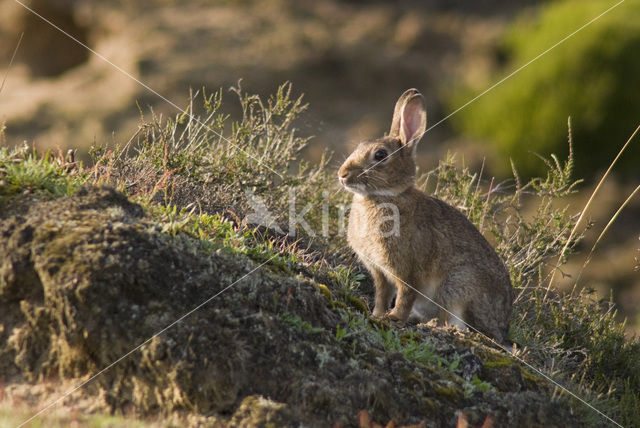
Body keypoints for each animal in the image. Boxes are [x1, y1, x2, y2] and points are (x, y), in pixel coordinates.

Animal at [338, 89, 512, 342]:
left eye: (380, 155)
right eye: (359, 146)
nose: (342, 174)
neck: (384, 197)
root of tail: (502, 329)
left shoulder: (407, 269)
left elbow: (405, 295)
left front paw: (393, 318)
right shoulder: (379, 272)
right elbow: (382, 295)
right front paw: (377, 315)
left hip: (457, 285)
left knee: (456, 322)